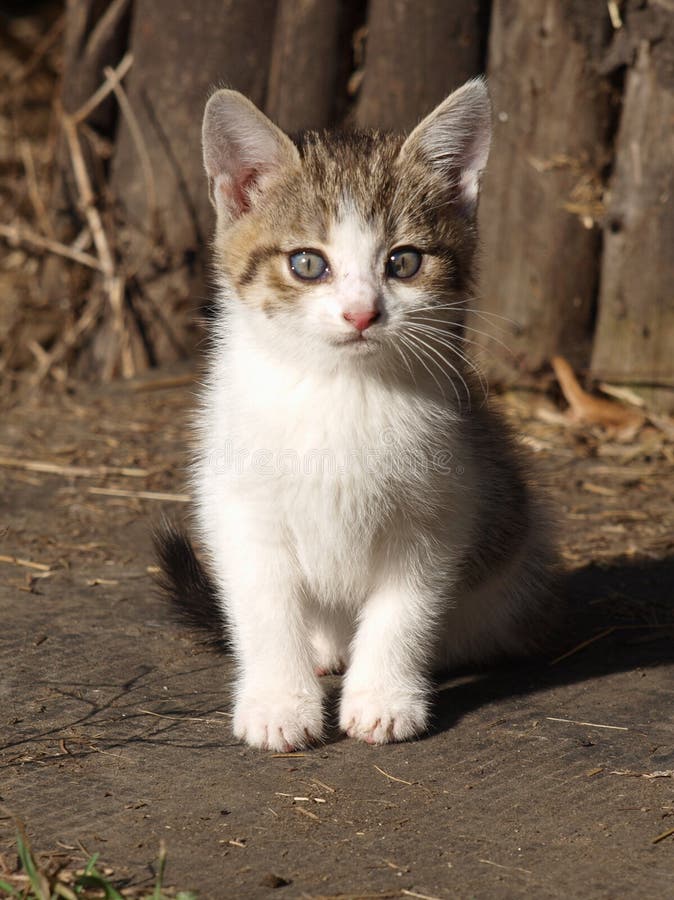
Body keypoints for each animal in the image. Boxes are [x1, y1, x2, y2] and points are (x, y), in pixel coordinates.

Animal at [155, 77, 552, 752]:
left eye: (404, 262)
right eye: (307, 263)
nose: (362, 313)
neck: (340, 391)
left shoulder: (441, 507)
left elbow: (404, 609)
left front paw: (384, 698)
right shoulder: (239, 504)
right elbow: (263, 606)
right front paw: (278, 702)